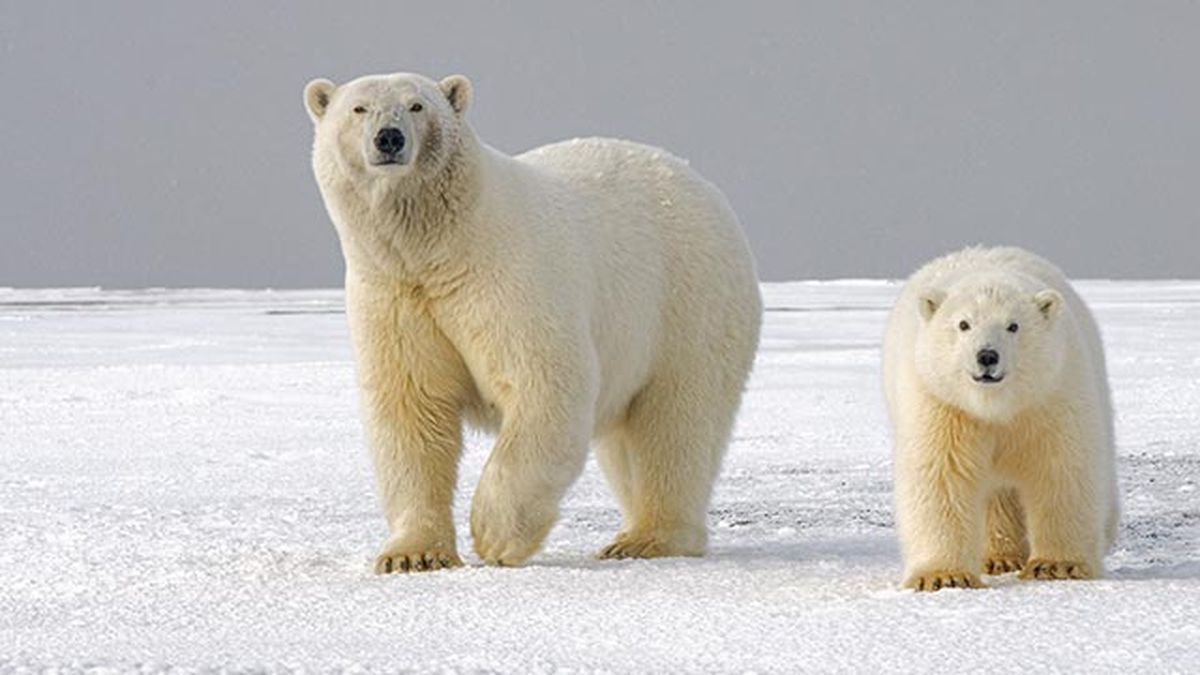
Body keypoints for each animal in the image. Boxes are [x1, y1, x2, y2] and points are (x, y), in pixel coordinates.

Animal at [303, 72, 762, 573]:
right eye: (359, 109)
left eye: (417, 106)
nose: (389, 137)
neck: (441, 247)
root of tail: (702, 184)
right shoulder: (394, 296)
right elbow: (412, 409)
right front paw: (412, 555)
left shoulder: (507, 279)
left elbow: (544, 384)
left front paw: (495, 535)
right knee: (627, 440)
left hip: (687, 302)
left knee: (675, 422)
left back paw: (648, 538)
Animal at [881, 246, 1119, 591]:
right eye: (963, 324)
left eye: (1013, 326)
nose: (987, 356)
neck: (996, 407)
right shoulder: (942, 404)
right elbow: (941, 475)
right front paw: (944, 576)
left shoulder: (1051, 395)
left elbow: (1062, 468)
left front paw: (1056, 566)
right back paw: (999, 558)